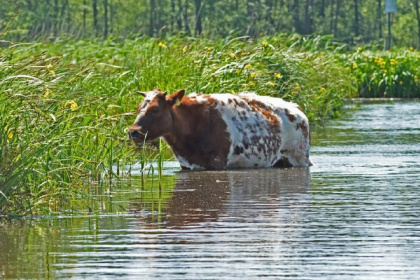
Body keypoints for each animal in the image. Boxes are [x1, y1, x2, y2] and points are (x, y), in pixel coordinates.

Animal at [128, 88, 312, 170]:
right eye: (138, 108)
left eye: (155, 109)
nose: (133, 131)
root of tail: (296, 108)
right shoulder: (186, 164)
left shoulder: (217, 161)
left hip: (299, 158)